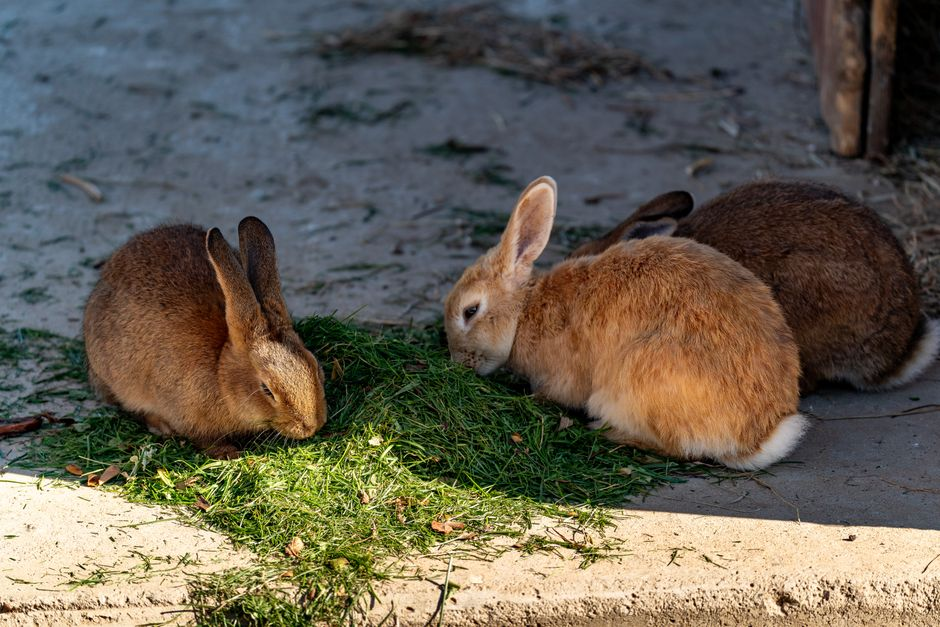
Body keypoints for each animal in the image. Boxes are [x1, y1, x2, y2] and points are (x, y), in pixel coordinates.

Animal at [83, 216, 327, 458]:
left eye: (315, 366)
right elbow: (204, 440)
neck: (220, 371)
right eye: (267, 389)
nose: (310, 426)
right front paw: (228, 453)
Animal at [445, 176, 807, 470]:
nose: (458, 363)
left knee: (676, 448)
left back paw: (604, 431)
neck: (525, 311)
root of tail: (758, 437)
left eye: (470, 311)